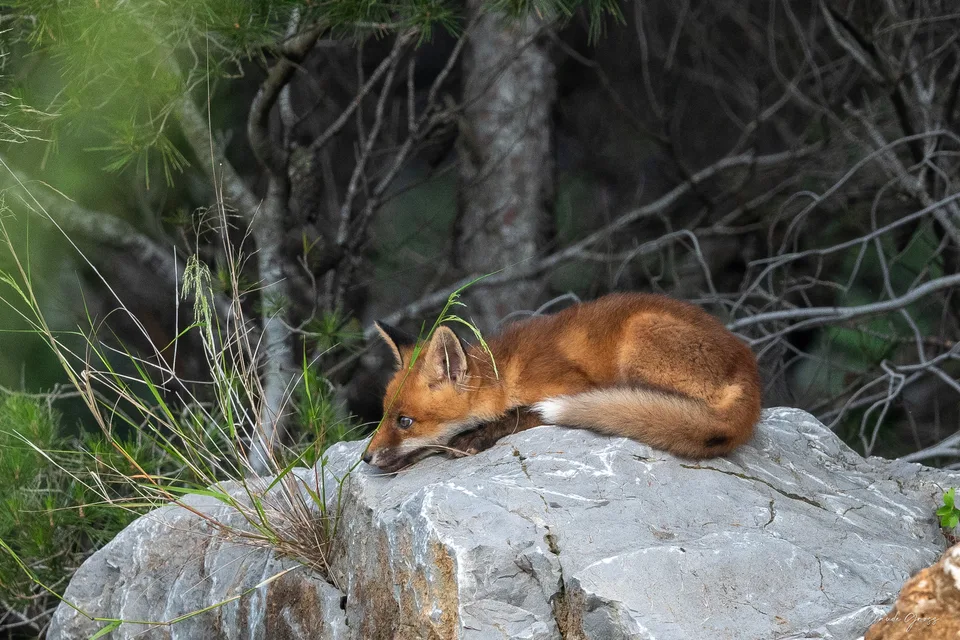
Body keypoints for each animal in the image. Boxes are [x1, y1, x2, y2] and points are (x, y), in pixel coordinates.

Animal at [363, 292, 762, 472]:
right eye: (383, 415)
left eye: (405, 422)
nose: (365, 457)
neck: (507, 374)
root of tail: (749, 369)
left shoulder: (573, 385)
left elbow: (520, 414)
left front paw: (474, 437)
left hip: (638, 336)